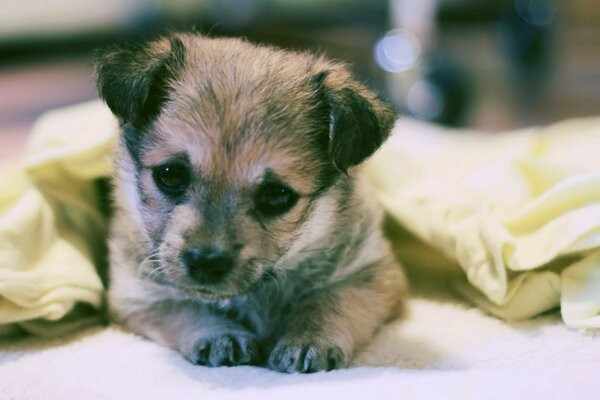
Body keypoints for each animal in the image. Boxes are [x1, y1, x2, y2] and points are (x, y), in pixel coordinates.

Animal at [96, 32, 408, 374]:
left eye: (276, 195)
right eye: (170, 174)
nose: (206, 262)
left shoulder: (373, 275)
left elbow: (332, 300)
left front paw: (308, 339)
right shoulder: (134, 294)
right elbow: (183, 306)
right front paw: (219, 334)